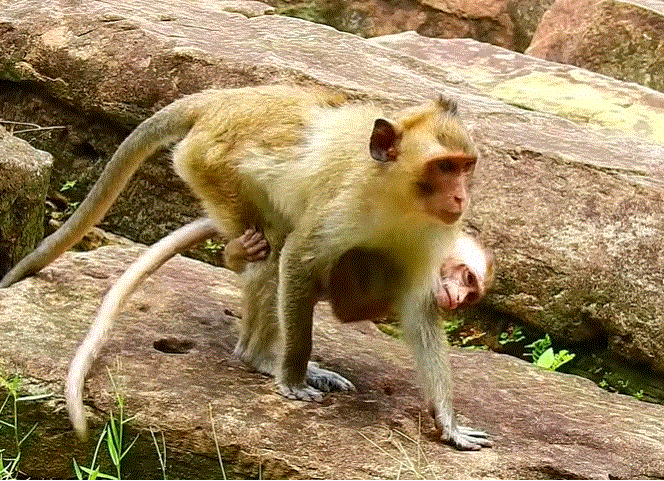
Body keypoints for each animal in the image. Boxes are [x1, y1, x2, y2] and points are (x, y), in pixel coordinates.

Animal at [1, 85, 487, 449]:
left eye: (465, 167)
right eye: (443, 167)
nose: (461, 197)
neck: (398, 198)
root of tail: (221, 100)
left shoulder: (433, 234)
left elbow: (418, 310)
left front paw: (449, 424)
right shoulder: (345, 203)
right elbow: (298, 259)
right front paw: (292, 377)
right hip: (208, 166)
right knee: (270, 254)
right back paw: (261, 354)